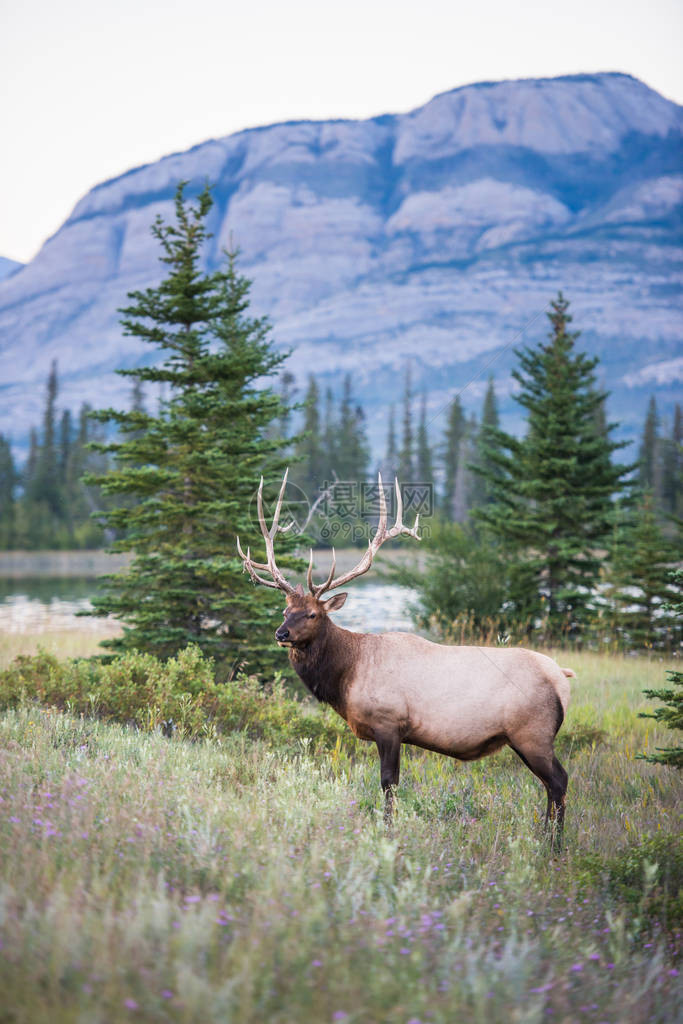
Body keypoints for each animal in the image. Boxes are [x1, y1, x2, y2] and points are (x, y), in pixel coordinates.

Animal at [237, 471, 573, 847]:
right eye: (285, 611)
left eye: (311, 614)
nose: (281, 634)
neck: (346, 674)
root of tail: (562, 677)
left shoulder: (389, 723)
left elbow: (389, 784)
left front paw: (388, 832)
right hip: (528, 738)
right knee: (550, 785)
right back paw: (546, 839)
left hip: (533, 733)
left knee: (559, 781)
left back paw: (554, 846)